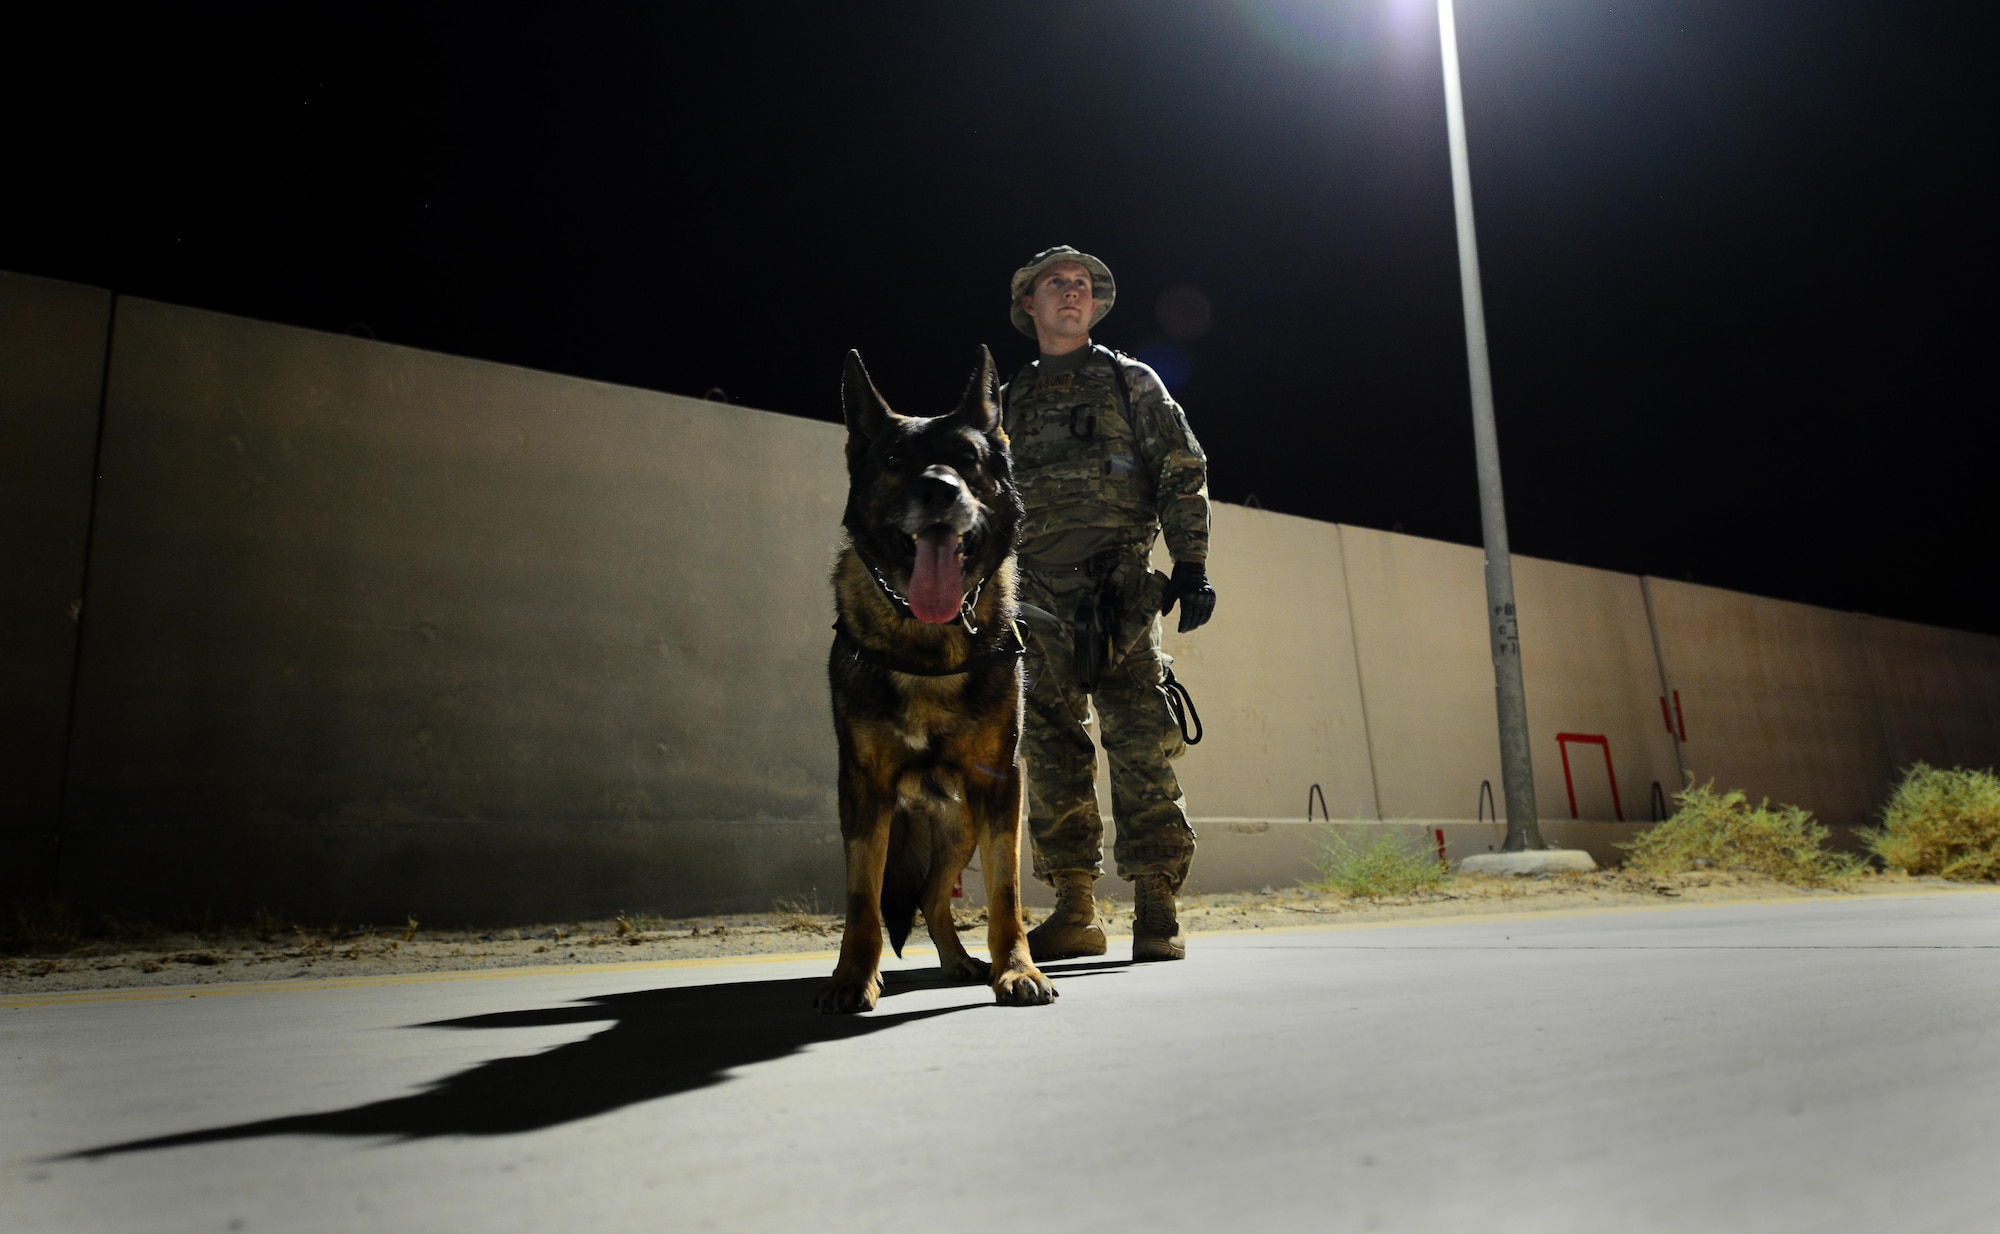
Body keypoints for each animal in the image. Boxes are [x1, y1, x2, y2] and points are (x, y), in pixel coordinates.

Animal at [816, 346, 1064, 1012]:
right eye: (894, 460)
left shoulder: (999, 788)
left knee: (931, 894)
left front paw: (1017, 969)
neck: (929, 643)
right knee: (912, 893)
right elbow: (861, 898)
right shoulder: (862, 791)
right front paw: (853, 977)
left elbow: (1006, 893)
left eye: (968, 460)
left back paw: (961, 963)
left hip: (964, 827)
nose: (938, 488)